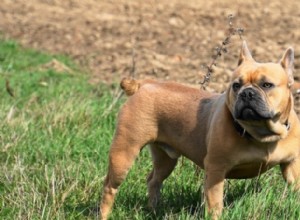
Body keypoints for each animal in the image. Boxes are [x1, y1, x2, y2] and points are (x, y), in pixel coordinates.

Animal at [100, 41, 300, 220]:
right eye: (236, 85)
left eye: (267, 85)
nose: (247, 93)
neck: (261, 133)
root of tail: (143, 84)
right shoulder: (216, 170)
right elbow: (215, 204)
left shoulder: (292, 165)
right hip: (124, 152)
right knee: (110, 187)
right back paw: (104, 214)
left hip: (165, 159)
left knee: (154, 180)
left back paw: (153, 210)